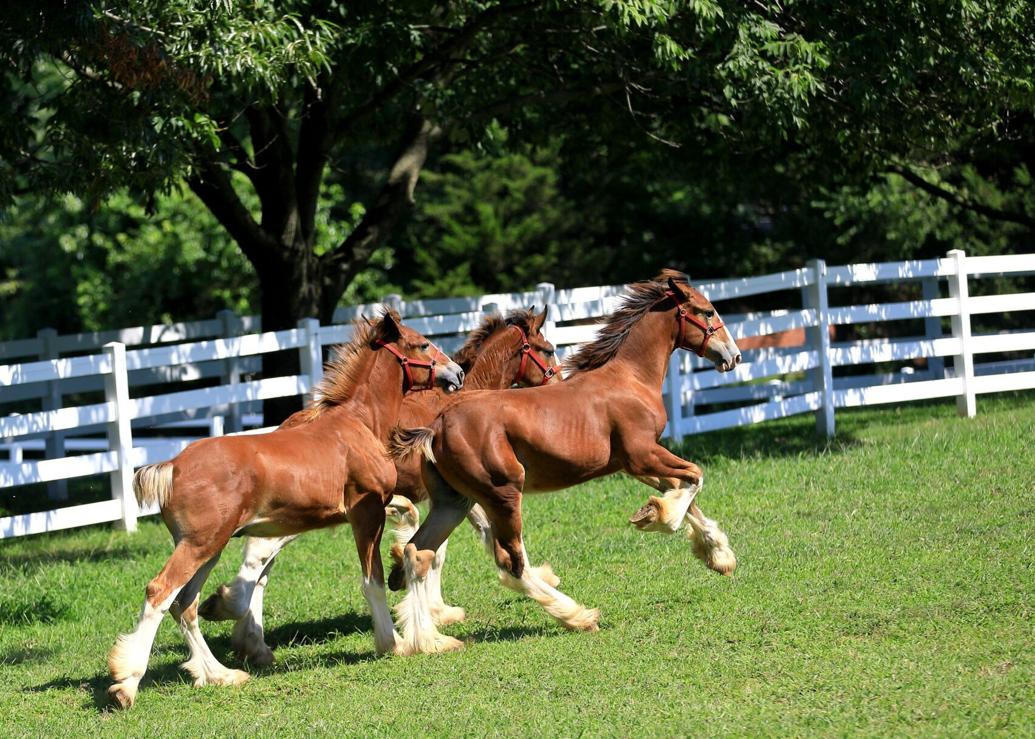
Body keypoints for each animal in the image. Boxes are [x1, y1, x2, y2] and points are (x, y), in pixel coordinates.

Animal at [105, 310, 461, 707]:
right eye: (423, 344)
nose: (457, 372)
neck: (358, 426)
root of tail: (172, 466)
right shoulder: (365, 515)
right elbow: (373, 581)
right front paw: (393, 642)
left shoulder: (376, 506)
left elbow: (406, 524)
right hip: (201, 544)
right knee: (160, 592)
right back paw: (126, 684)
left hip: (209, 547)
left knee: (185, 603)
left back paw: (221, 674)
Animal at [196, 304, 563, 662]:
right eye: (548, 350)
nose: (558, 382)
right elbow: (463, 541)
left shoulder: (450, 496)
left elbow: (439, 547)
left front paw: (425, 598)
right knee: (258, 557)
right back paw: (237, 621)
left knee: (262, 565)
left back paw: (248, 637)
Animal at [387, 271, 736, 649]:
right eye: (707, 311)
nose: (733, 355)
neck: (630, 380)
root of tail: (435, 427)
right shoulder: (642, 455)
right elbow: (695, 477)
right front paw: (659, 518)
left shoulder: (632, 463)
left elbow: (683, 488)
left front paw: (718, 555)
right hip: (502, 494)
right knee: (511, 563)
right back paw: (579, 616)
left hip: (455, 501)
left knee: (419, 552)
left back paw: (429, 640)